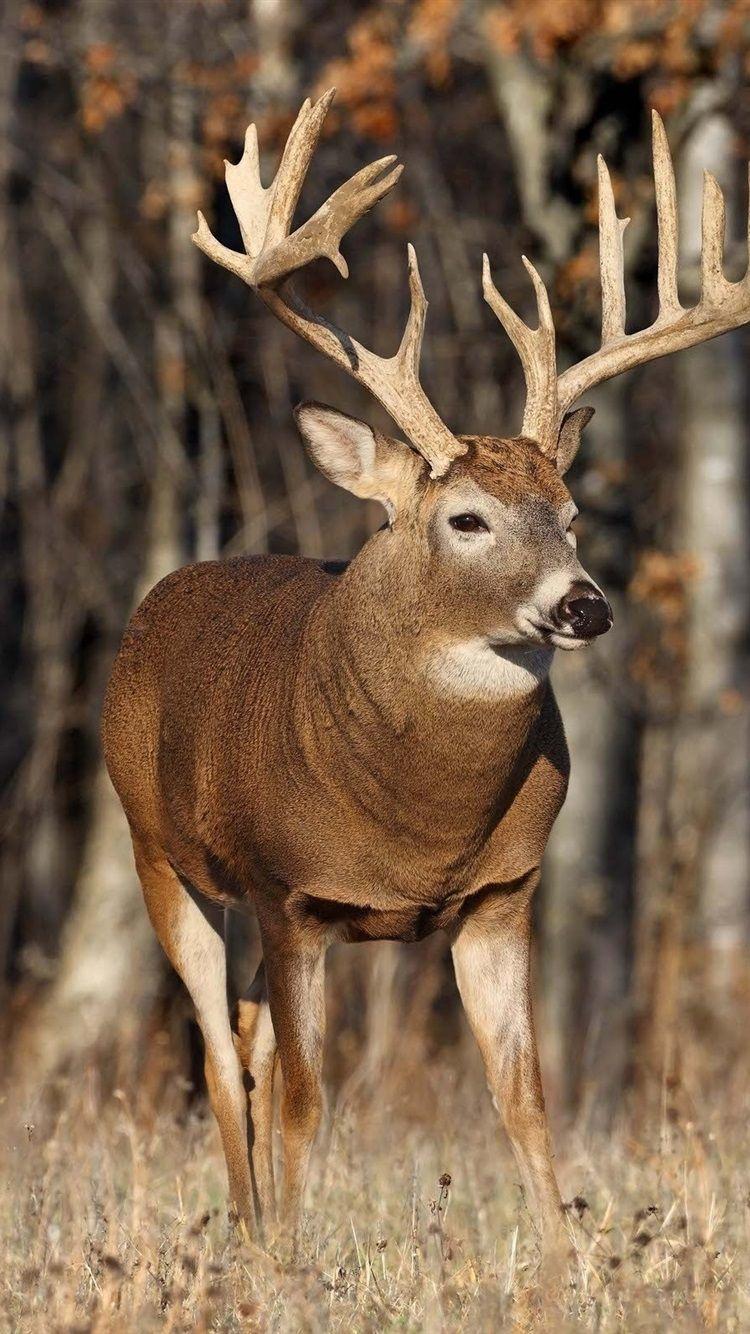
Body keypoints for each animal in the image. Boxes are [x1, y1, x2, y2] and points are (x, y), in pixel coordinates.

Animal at [102, 90, 750, 1260]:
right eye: (468, 519)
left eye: (571, 515)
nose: (586, 604)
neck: (420, 823)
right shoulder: (291, 890)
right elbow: (309, 1099)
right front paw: (297, 1264)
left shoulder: (502, 893)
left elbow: (524, 1096)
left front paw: (564, 1266)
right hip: (158, 850)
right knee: (220, 1053)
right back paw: (252, 1235)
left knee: (249, 1042)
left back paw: (257, 1227)